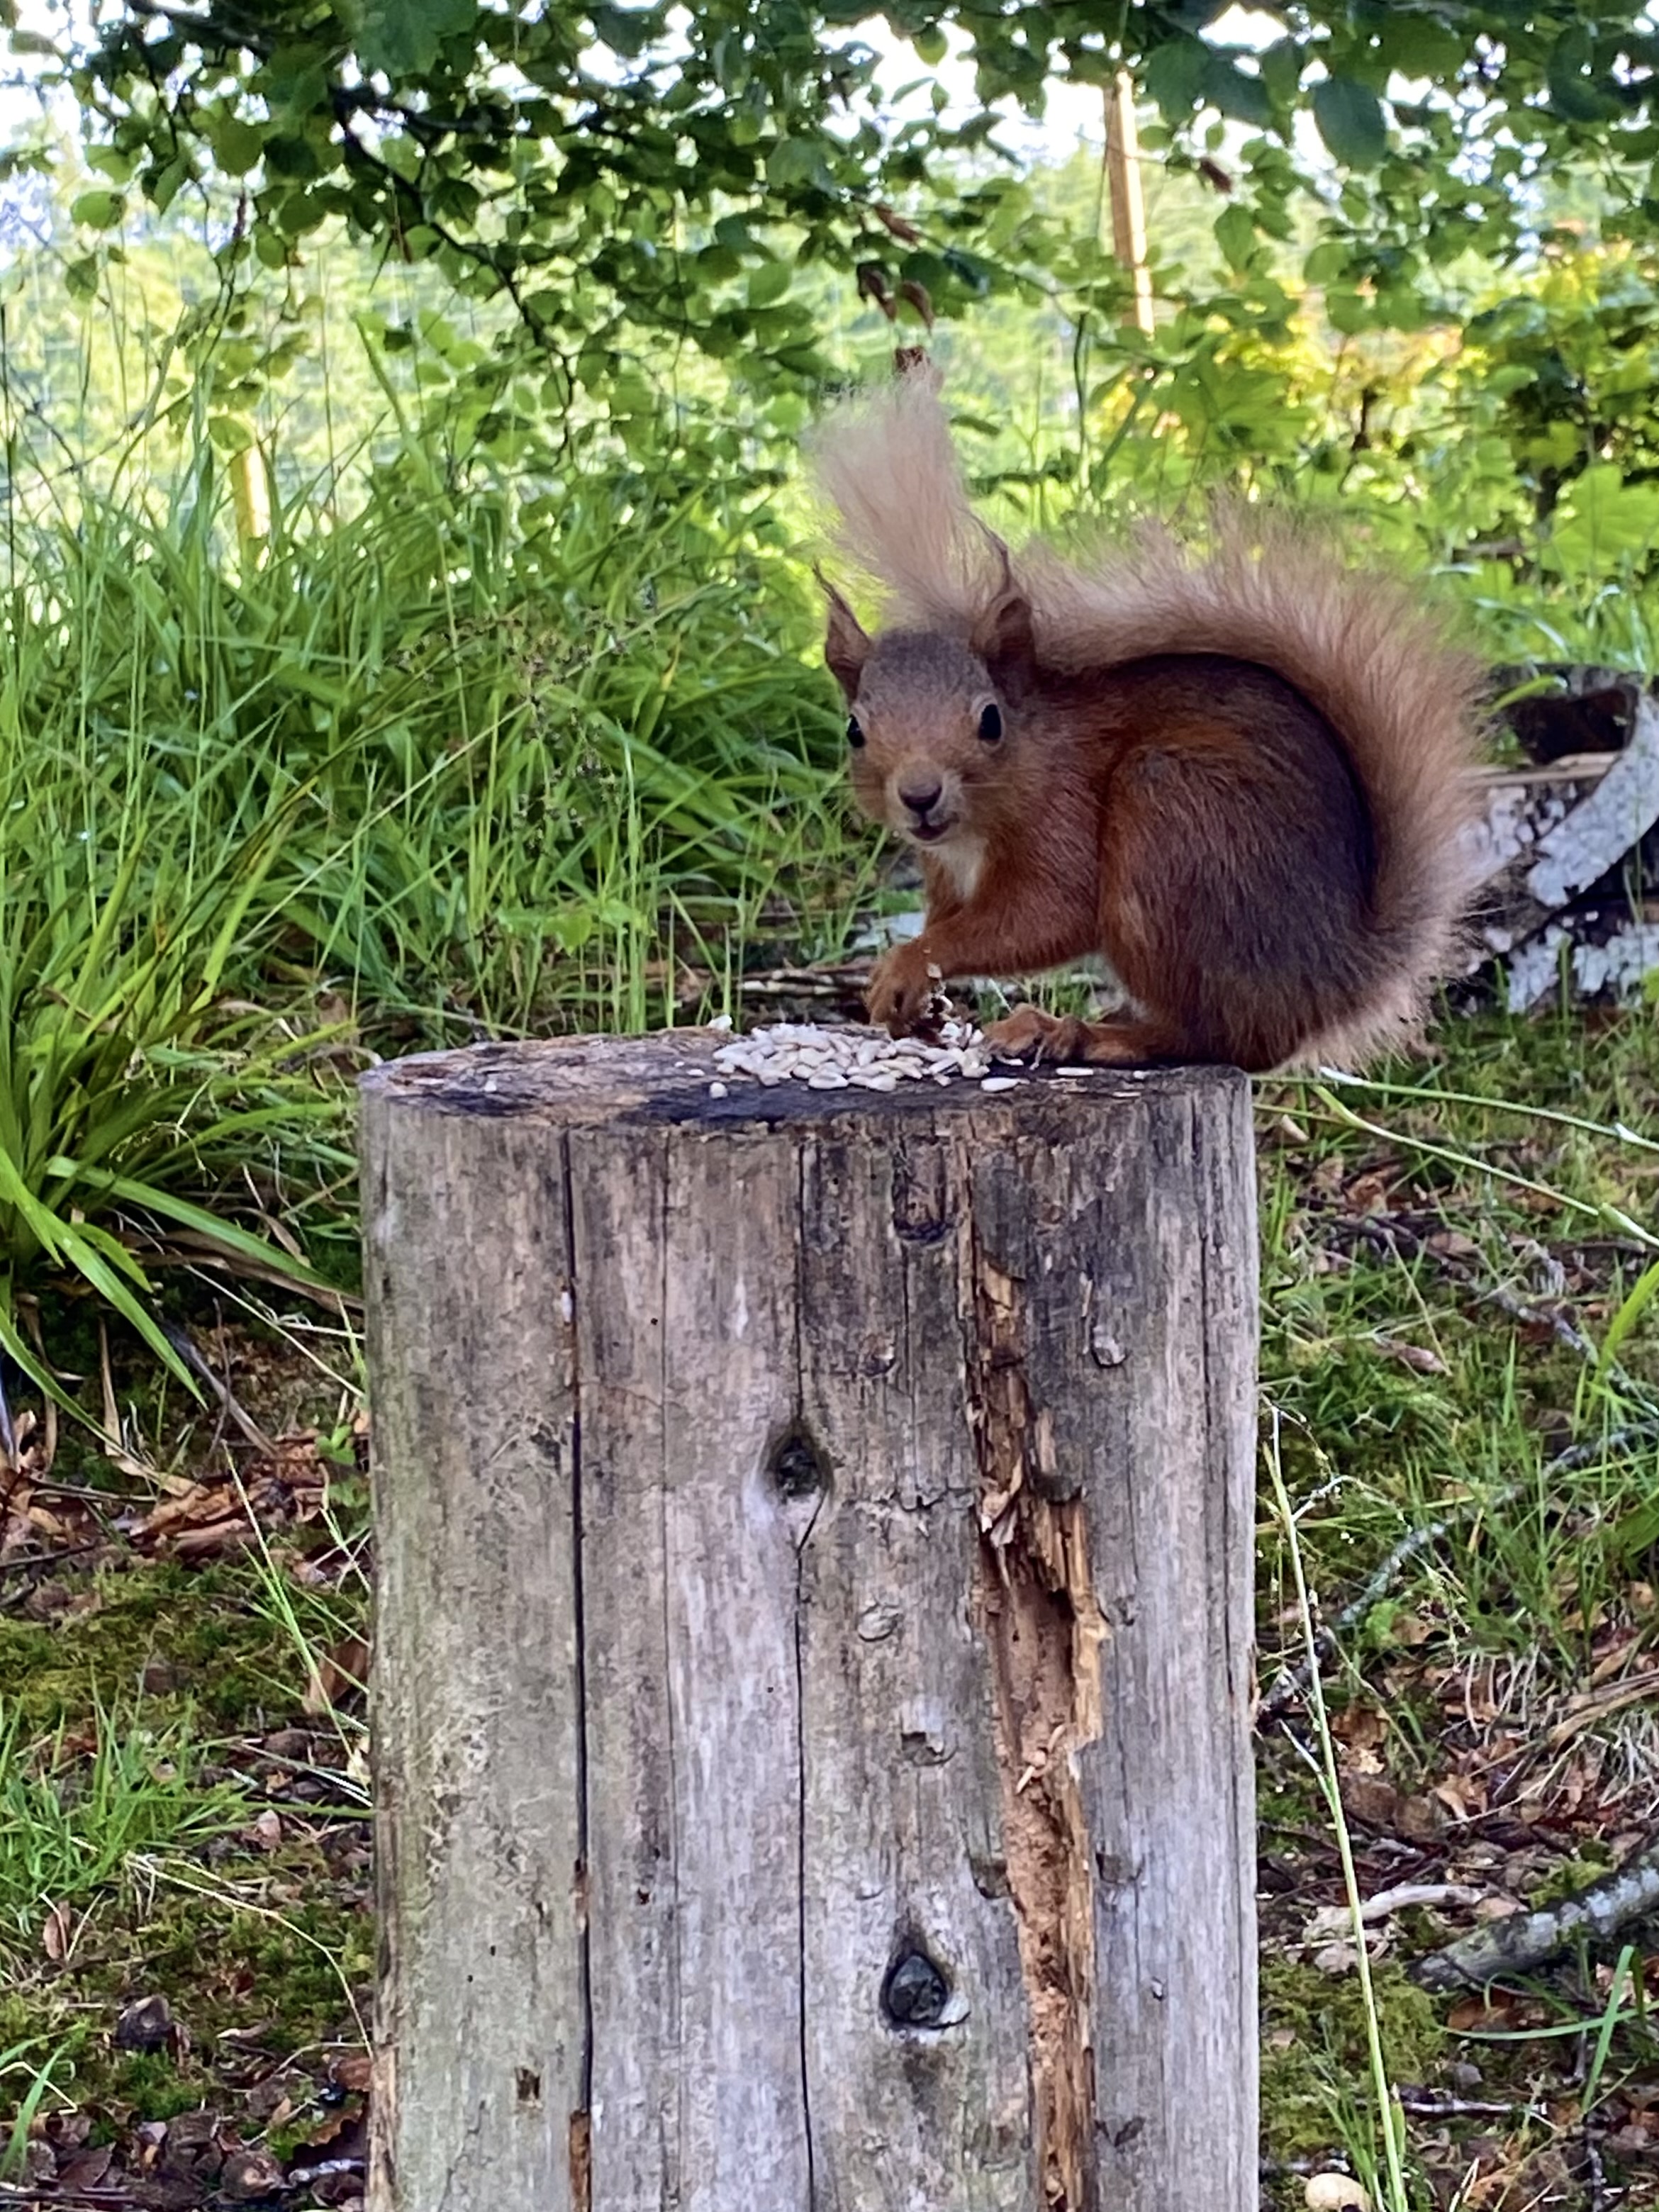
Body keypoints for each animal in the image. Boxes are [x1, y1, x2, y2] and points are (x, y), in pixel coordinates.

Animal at [809, 373, 1485, 1073]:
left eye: (990, 721)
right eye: (855, 731)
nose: (920, 795)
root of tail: (1333, 982)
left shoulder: (1063, 818)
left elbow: (1044, 916)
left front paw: (906, 966)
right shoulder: (944, 875)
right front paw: (918, 1006)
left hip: (1171, 820)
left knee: (1212, 1039)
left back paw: (1078, 1033)